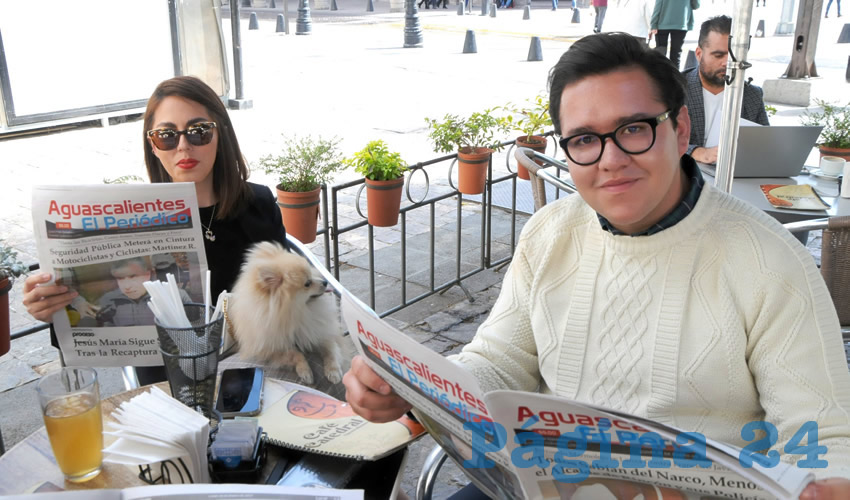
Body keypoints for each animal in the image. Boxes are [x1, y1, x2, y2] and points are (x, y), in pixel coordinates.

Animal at [229, 241, 344, 382]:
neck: (298, 312)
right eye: (307, 283)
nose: (325, 281)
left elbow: (330, 348)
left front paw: (333, 371)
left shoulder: (318, 331)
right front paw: (305, 371)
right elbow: (295, 354)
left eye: (311, 275)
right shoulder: (272, 349)